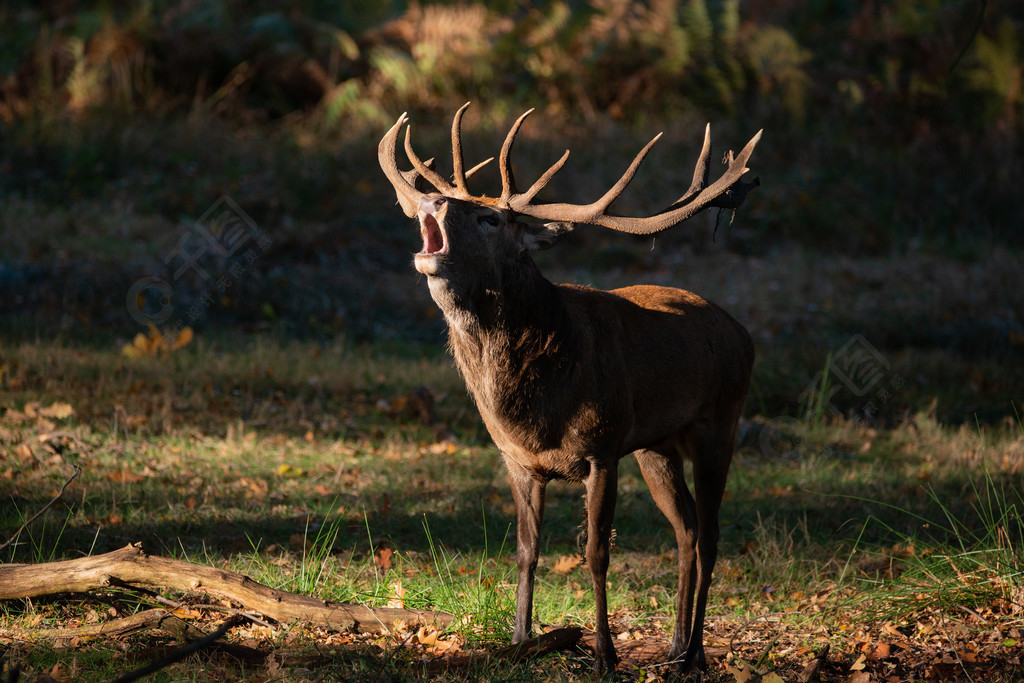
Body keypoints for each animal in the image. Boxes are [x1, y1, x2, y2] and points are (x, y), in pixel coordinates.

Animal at [376, 104, 761, 675]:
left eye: (491, 219)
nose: (431, 199)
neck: (534, 407)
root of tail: (745, 334)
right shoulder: (518, 459)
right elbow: (525, 550)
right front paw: (520, 641)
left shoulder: (602, 449)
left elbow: (597, 554)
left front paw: (605, 656)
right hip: (655, 447)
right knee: (687, 530)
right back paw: (674, 648)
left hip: (721, 422)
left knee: (712, 534)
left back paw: (694, 654)